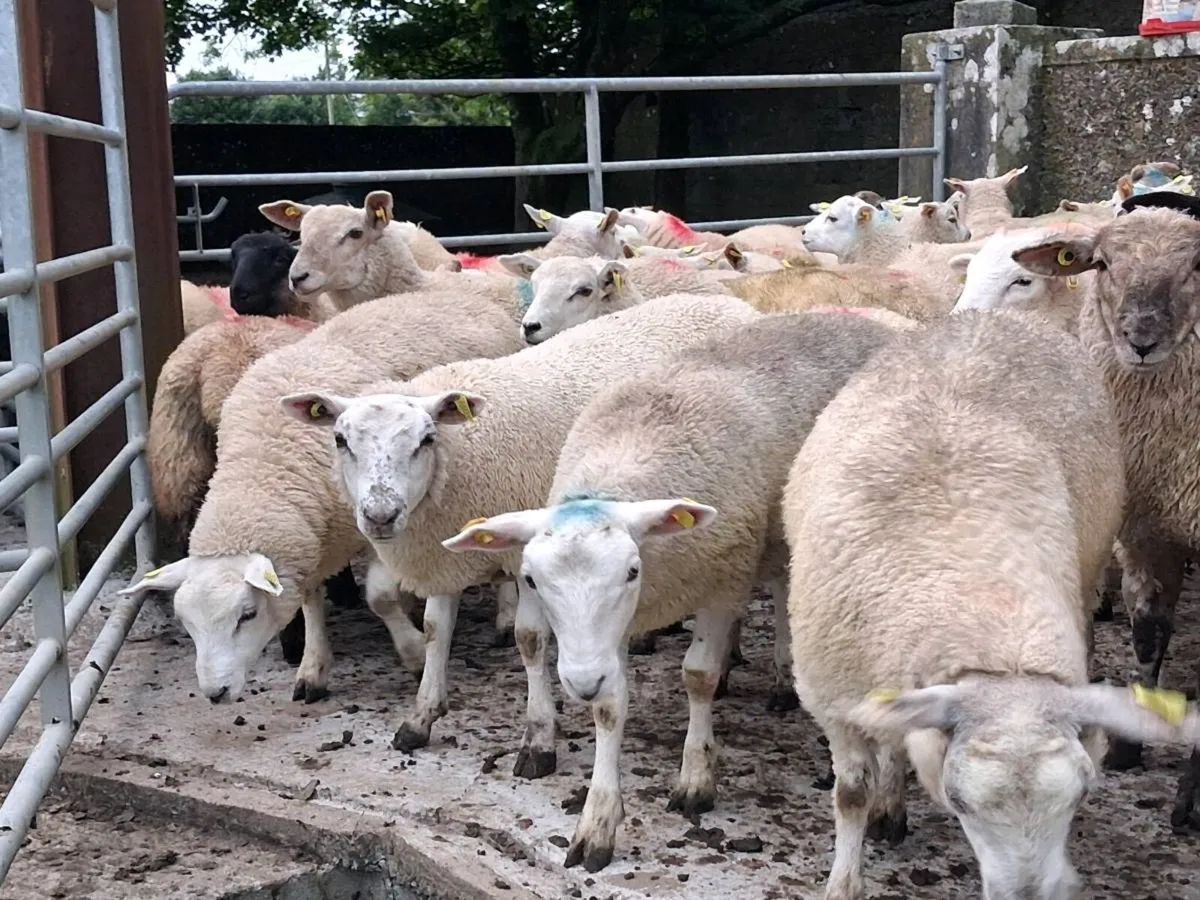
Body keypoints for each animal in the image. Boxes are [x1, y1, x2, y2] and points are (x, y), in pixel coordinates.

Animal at [119, 289, 527, 704]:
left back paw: (505, 617)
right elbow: (309, 601)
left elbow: (379, 597)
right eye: (186, 622)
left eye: (247, 614)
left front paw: (413, 653)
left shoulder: (376, 527)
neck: (268, 463)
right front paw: (312, 667)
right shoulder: (314, 536)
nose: (215, 692)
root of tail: (454, 293)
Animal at [278, 294, 761, 756]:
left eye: (426, 439)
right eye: (340, 440)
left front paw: (539, 736)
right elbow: (436, 630)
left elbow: (529, 639)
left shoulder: (523, 551)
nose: (380, 514)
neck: (462, 454)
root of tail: (725, 301)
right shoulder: (446, 549)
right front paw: (421, 715)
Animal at [439, 310, 906, 872]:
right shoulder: (619, 627)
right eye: (530, 579)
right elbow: (609, 708)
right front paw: (597, 823)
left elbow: (697, 676)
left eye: (631, 571)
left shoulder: (722, 579)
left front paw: (696, 779)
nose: (580, 680)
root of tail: (860, 318)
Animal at [781, 309, 1195, 900]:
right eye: (958, 802)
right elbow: (851, 794)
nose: (1026, 894)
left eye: (1080, 796)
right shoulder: (836, 700)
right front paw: (845, 880)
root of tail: (1001, 314)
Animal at [1007, 203, 1200, 820]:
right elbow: (1148, 631)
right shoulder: (1145, 525)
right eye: (1105, 264)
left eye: (1196, 266)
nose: (1140, 340)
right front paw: (1130, 744)